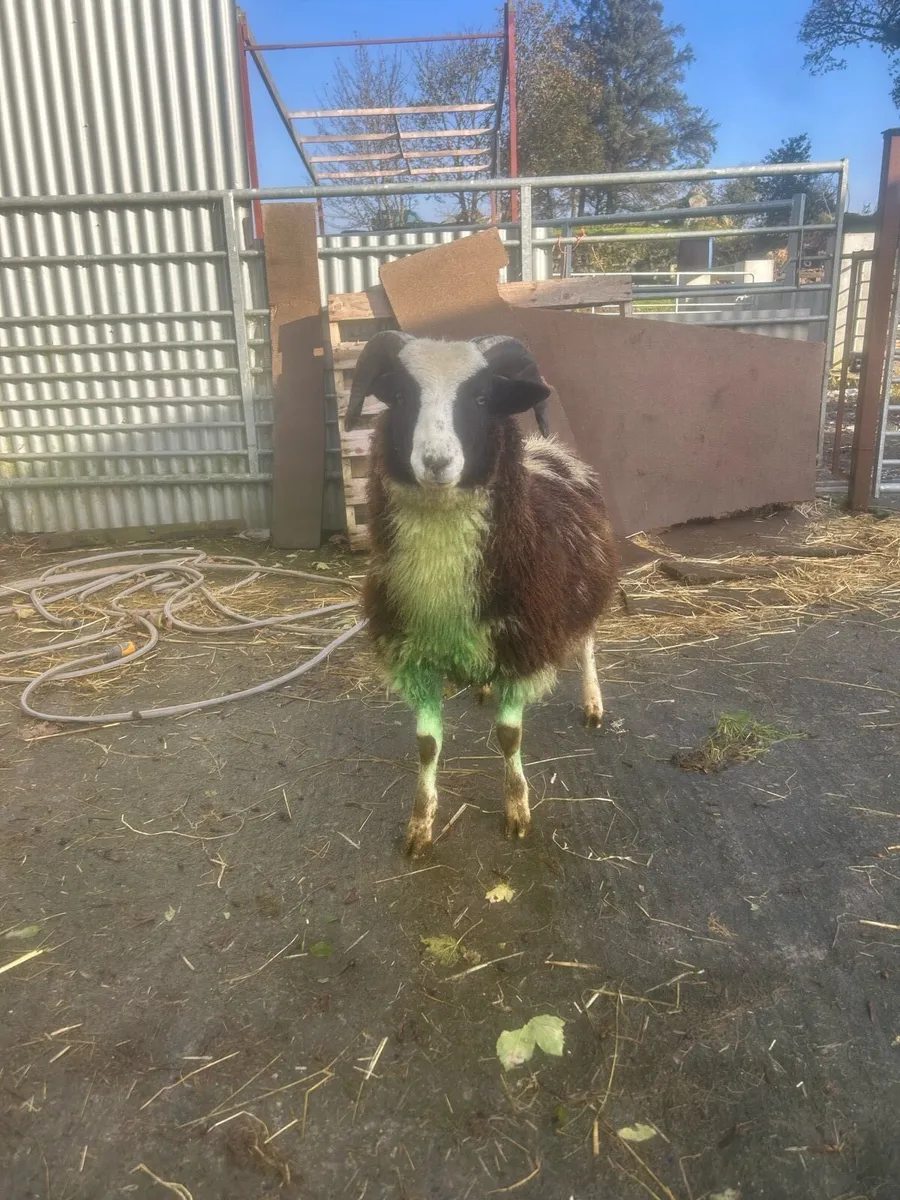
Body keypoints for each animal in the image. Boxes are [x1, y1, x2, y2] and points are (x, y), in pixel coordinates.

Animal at [344, 331, 618, 856]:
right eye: (401, 395)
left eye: (482, 398)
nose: (436, 462)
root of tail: (547, 447)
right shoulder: (416, 655)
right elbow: (427, 745)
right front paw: (420, 826)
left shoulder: (522, 646)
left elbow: (509, 736)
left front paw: (517, 811)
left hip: (584, 594)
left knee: (587, 645)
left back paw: (593, 703)